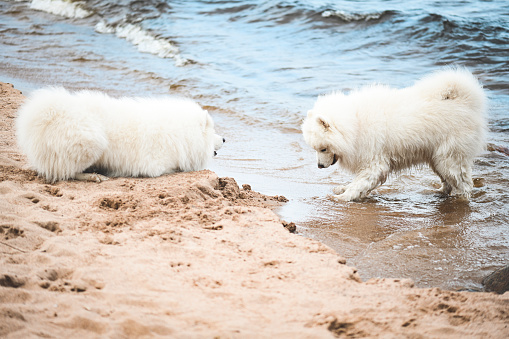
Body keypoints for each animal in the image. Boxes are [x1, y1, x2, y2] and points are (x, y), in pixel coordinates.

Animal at [16, 87, 224, 183]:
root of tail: (52, 115)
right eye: (213, 131)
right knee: (67, 173)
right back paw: (95, 176)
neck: (181, 133)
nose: (224, 138)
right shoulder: (154, 165)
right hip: (93, 142)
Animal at [302, 68, 488, 202]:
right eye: (316, 149)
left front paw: (342, 196)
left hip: (449, 158)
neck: (355, 123)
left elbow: (359, 183)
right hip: (437, 158)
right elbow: (359, 183)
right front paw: (344, 189)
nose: (319, 166)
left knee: (464, 183)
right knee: (448, 182)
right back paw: (438, 192)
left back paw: (460, 199)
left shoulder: (374, 163)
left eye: (323, 149)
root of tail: (465, 102)